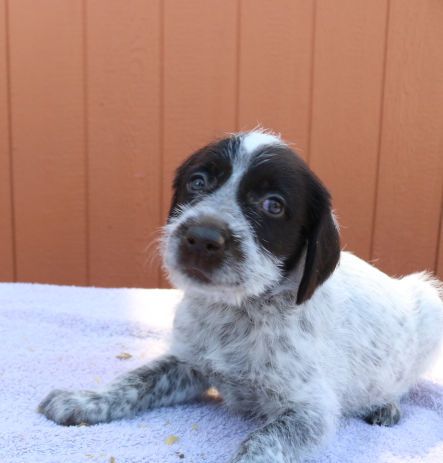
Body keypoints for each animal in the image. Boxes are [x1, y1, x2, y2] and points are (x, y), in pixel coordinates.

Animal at [39, 130, 443, 462]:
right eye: (197, 182)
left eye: (273, 205)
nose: (201, 238)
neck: (238, 310)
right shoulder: (188, 362)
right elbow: (135, 380)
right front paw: (85, 400)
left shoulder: (311, 411)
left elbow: (262, 443)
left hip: (430, 303)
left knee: (403, 382)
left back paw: (386, 404)